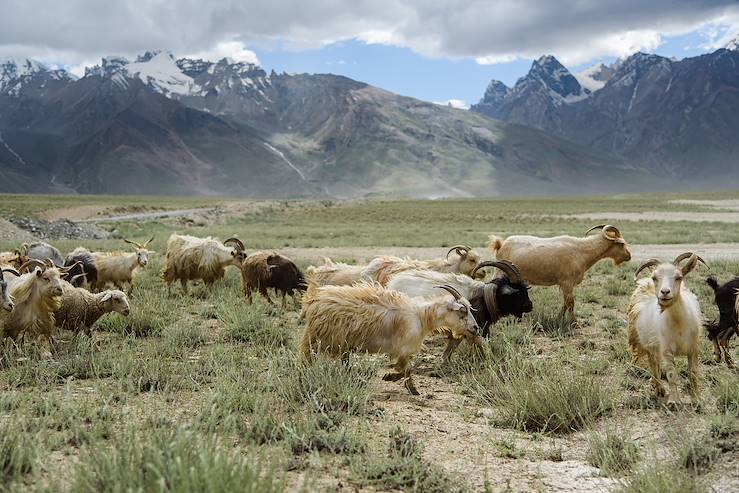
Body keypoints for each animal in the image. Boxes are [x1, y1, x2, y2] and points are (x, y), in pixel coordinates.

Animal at [300, 282, 480, 394]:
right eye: (462, 310)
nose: (476, 328)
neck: (422, 317)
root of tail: (314, 302)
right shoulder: (402, 348)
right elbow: (407, 369)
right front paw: (407, 386)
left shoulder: (400, 351)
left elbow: (405, 369)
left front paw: (400, 382)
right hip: (318, 339)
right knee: (306, 358)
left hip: (340, 343)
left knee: (344, 363)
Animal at [488, 225, 632, 318]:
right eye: (621, 244)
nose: (629, 255)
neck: (582, 250)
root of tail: (501, 244)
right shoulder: (567, 283)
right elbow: (570, 303)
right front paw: (574, 323)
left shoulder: (565, 285)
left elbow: (565, 304)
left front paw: (559, 318)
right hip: (500, 272)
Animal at [628, 252, 708, 406]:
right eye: (655, 277)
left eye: (679, 277)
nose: (665, 292)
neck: (679, 325)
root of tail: (645, 283)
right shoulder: (667, 350)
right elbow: (672, 375)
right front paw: (674, 400)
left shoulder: (693, 348)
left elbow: (693, 373)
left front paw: (697, 399)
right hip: (648, 343)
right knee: (653, 364)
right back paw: (659, 388)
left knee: (656, 363)